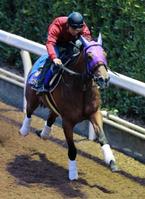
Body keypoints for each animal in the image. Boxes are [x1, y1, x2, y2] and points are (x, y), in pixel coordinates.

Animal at [19, 34, 118, 180]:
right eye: (89, 56)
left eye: (105, 54)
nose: (104, 79)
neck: (81, 87)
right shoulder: (67, 122)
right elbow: (72, 149)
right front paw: (73, 174)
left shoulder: (94, 113)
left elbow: (102, 137)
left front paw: (111, 162)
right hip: (32, 98)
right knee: (29, 112)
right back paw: (24, 130)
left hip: (54, 107)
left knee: (50, 118)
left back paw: (43, 134)